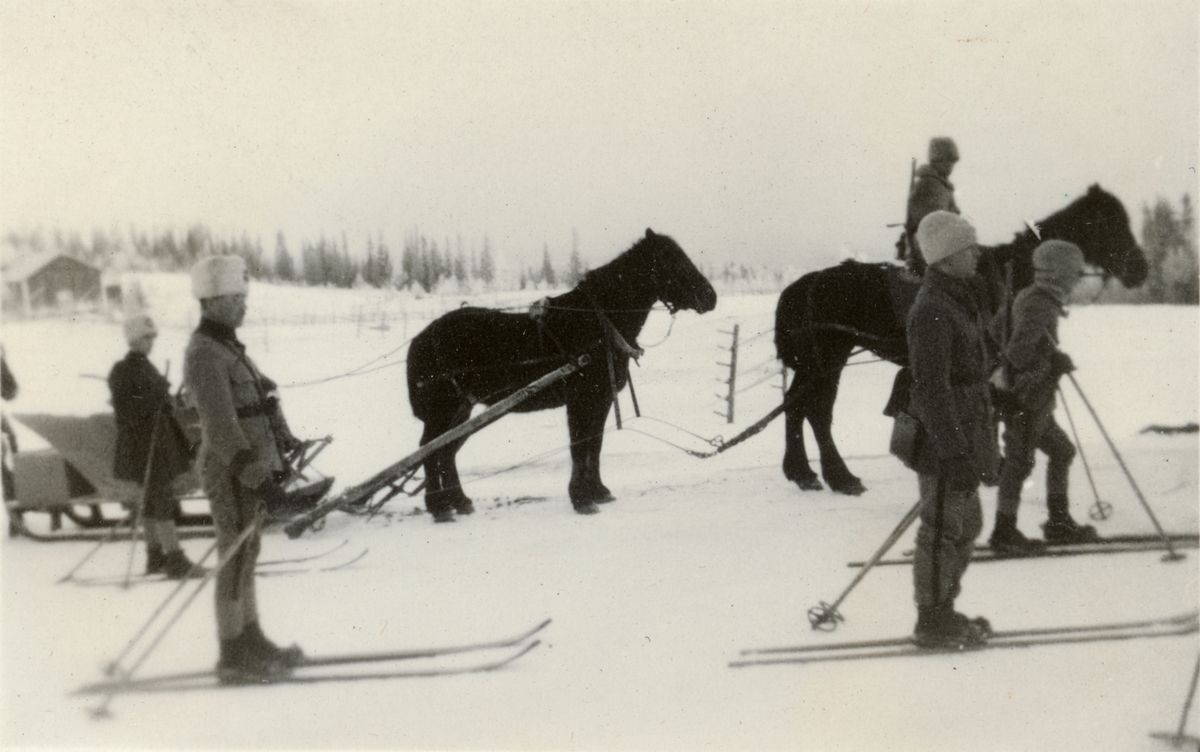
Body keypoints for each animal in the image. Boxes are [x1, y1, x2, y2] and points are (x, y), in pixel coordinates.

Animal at [408, 229, 715, 520]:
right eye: (670, 260)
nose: (710, 297)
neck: (596, 324)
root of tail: (420, 338)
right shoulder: (580, 399)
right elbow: (579, 446)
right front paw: (581, 499)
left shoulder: (601, 399)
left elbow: (594, 445)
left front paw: (598, 491)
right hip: (442, 412)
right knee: (429, 451)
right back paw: (439, 507)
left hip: (461, 411)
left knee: (444, 453)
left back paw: (459, 502)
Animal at [772, 185, 1147, 496]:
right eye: (1112, 222)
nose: (1140, 269)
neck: (1016, 275)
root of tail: (807, 282)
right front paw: (994, 469)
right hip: (828, 361)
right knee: (817, 412)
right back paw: (840, 477)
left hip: (815, 366)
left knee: (795, 406)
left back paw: (802, 472)